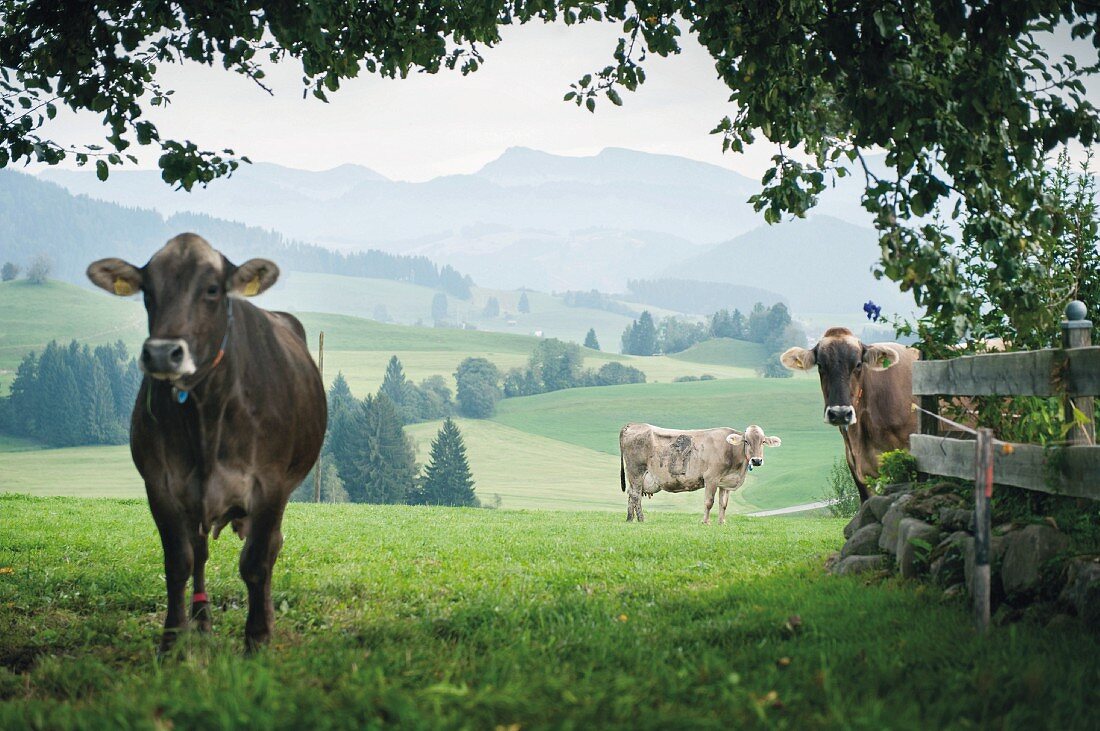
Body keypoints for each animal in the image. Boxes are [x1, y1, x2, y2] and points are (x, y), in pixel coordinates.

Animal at [85, 231, 325, 650]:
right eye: (148, 290)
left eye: (212, 289)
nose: (162, 353)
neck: (205, 414)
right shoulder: (161, 485)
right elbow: (178, 562)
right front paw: (172, 642)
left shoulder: (270, 485)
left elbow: (256, 562)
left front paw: (257, 639)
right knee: (200, 553)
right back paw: (202, 619)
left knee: (272, 547)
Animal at [620, 422, 783, 525]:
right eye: (746, 441)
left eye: (763, 442)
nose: (757, 460)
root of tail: (634, 425)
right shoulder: (711, 478)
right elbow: (709, 502)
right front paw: (705, 522)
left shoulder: (725, 481)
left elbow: (723, 504)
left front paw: (722, 522)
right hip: (636, 471)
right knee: (635, 495)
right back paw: (641, 519)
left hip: (634, 476)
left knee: (631, 494)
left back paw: (630, 519)